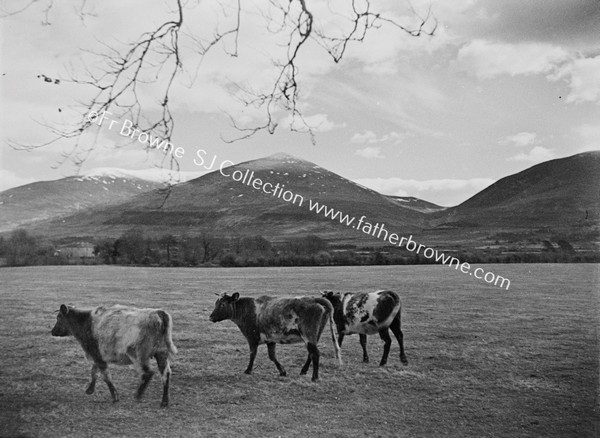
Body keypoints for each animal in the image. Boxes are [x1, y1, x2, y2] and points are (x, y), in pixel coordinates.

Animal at [210, 292, 342, 382]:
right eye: (216, 303)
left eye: (222, 304)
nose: (211, 317)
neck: (247, 310)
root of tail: (314, 299)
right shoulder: (270, 339)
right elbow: (272, 356)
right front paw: (282, 371)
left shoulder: (252, 338)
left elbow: (253, 354)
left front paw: (248, 370)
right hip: (314, 336)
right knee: (311, 353)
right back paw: (303, 371)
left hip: (308, 335)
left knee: (315, 353)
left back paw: (314, 377)